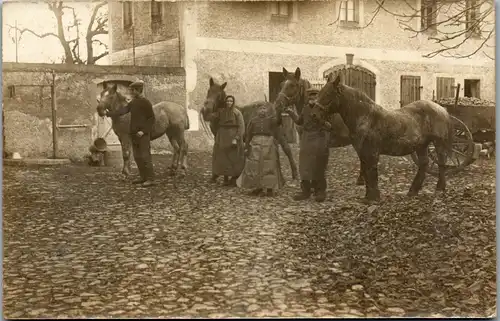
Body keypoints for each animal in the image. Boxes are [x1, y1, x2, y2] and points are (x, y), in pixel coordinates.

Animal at [310, 74, 456, 201]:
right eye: (319, 93)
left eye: (328, 94)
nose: (314, 115)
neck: (366, 117)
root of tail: (442, 109)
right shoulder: (362, 151)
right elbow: (366, 171)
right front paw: (368, 196)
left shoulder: (372, 152)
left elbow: (372, 172)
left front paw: (374, 197)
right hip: (421, 145)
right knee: (424, 164)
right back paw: (413, 191)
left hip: (438, 143)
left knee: (441, 162)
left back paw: (440, 187)